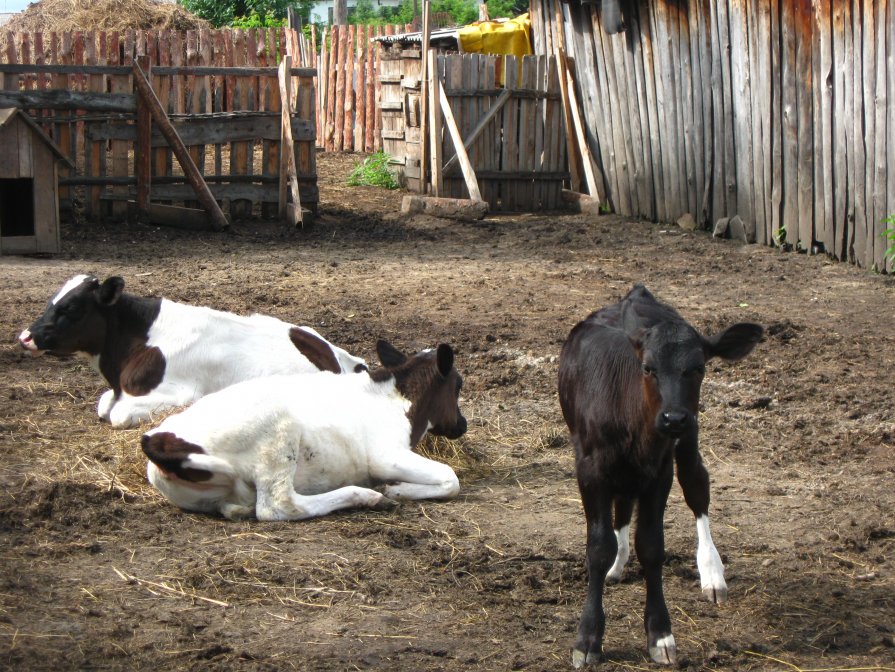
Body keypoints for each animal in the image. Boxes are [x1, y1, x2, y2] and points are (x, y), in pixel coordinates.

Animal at [19, 274, 366, 428]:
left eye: (70, 307)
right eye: (52, 301)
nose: (25, 336)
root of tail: (337, 354)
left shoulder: (178, 393)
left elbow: (117, 414)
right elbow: (104, 404)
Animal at [140, 342, 468, 520]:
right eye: (458, 384)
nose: (462, 424)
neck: (392, 398)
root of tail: (160, 440)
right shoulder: (385, 455)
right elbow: (451, 478)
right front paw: (396, 489)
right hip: (278, 434)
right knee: (278, 506)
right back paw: (367, 496)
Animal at [560, 284, 764, 668]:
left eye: (698, 367)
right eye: (648, 367)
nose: (673, 418)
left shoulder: (660, 471)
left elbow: (652, 546)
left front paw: (660, 634)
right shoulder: (591, 469)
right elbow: (599, 546)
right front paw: (588, 637)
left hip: (687, 441)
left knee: (697, 486)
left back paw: (712, 572)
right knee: (624, 505)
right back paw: (617, 565)